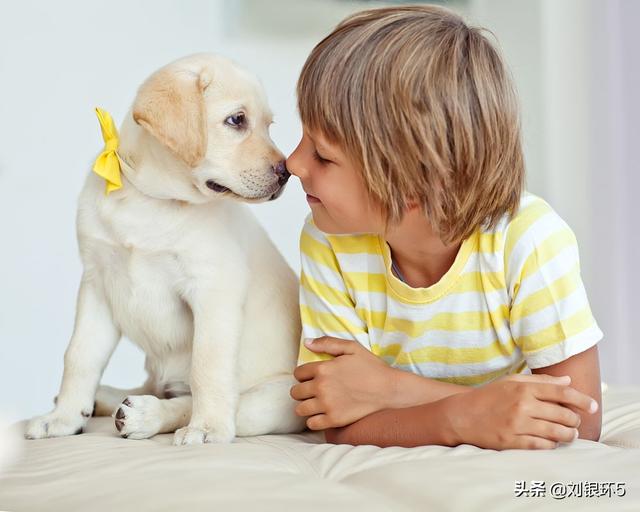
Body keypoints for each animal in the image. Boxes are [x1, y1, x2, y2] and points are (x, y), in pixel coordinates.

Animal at [23, 53, 308, 444]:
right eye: (237, 120)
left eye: (268, 125)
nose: (286, 173)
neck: (150, 200)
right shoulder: (97, 285)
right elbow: (79, 355)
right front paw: (64, 419)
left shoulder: (213, 290)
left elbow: (207, 365)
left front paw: (207, 428)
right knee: (151, 385)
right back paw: (105, 399)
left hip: (278, 399)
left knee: (202, 401)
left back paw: (145, 414)